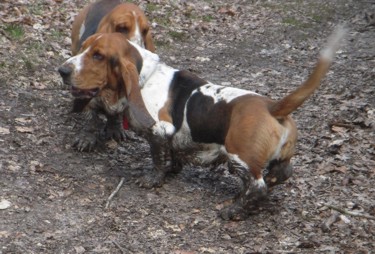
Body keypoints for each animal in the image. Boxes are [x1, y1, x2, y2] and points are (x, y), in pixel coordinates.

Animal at [58, 26, 346, 220]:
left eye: (98, 56)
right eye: (84, 48)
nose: (62, 70)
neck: (144, 76)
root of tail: (272, 107)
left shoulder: (159, 131)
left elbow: (158, 159)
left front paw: (153, 179)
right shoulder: (172, 137)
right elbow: (172, 155)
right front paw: (172, 169)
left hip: (237, 157)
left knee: (259, 187)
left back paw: (233, 210)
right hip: (269, 159)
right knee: (281, 174)